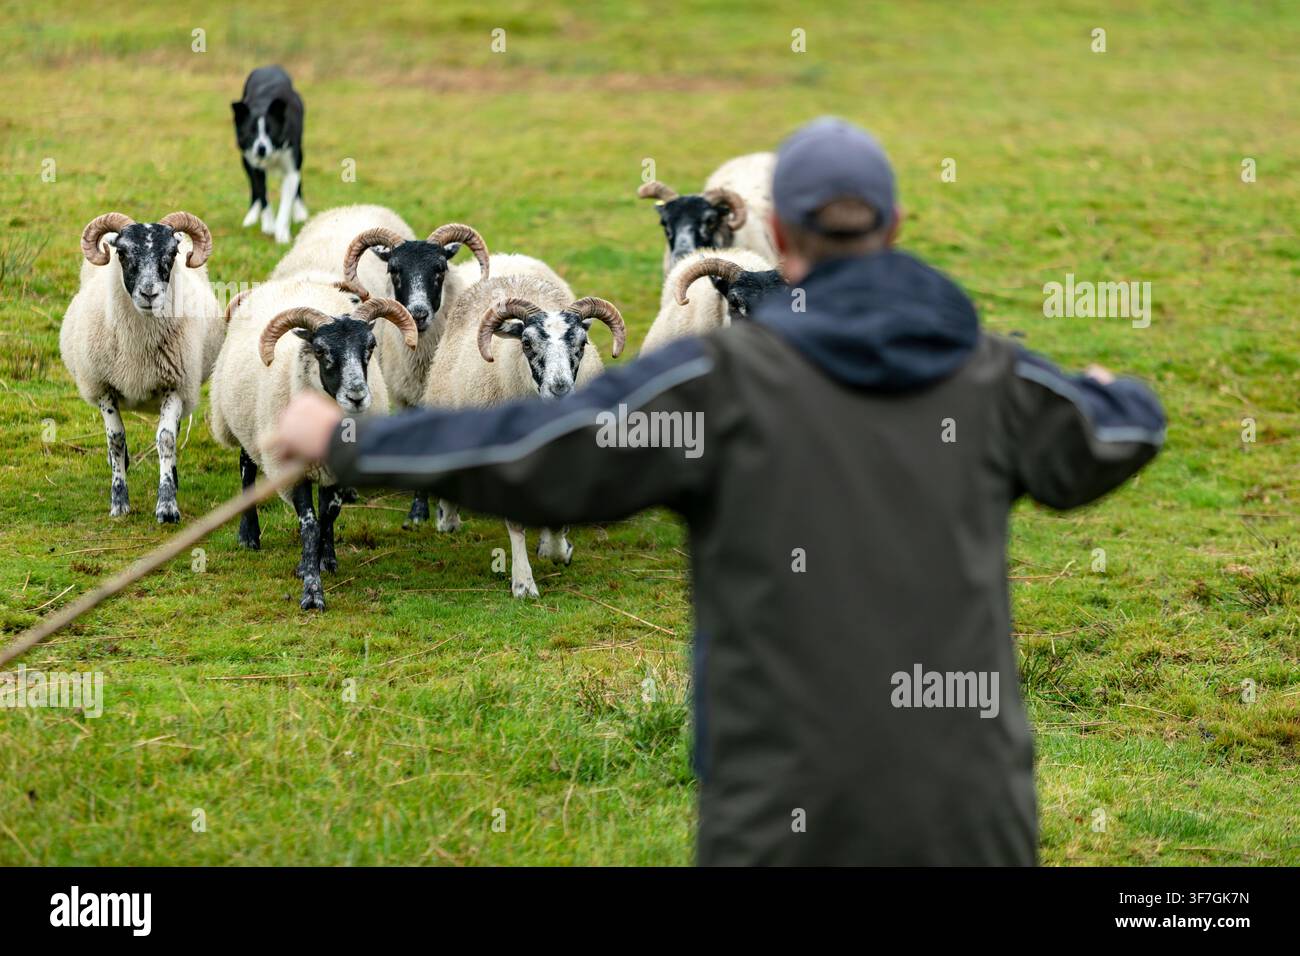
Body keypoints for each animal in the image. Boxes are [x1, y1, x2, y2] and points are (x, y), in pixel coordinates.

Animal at [60, 212, 223, 523]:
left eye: (172, 253)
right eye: (121, 253)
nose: (149, 294)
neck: (138, 349)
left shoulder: (175, 385)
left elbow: (166, 439)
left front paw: (167, 506)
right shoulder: (104, 387)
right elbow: (116, 439)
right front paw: (119, 502)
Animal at [209, 276, 416, 610]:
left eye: (370, 346)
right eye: (320, 351)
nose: (357, 396)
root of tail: (289, 280)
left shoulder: (339, 470)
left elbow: (329, 515)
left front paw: (325, 560)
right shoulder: (291, 470)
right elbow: (310, 525)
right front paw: (311, 588)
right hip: (243, 425)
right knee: (246, 471)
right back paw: (249, 535)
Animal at [421, 273, 626, 598]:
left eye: (582, 342)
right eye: (527, 343)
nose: (560, 388)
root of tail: (508, 275)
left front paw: (556, 549)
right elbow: (515, 526)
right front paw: (523, 583)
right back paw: (449, 519)